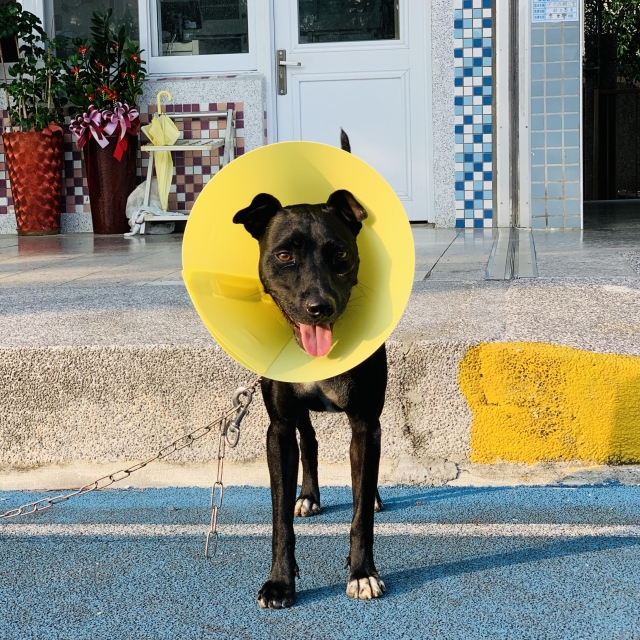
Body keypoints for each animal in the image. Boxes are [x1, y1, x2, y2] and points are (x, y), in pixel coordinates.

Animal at [234, 132, 388, 608]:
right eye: (284, 255)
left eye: (340, 254)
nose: (319, 307)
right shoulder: (278, 428)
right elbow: (279, 519)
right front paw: (279, 582)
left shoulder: (365, 423)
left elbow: (359, 514)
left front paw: (362, 573)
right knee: (311, 441)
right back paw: (308, 496)